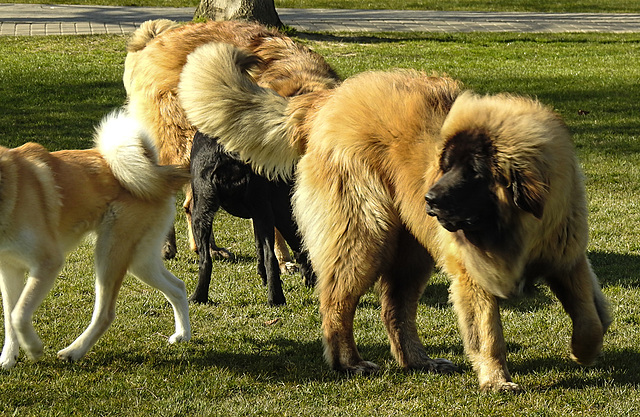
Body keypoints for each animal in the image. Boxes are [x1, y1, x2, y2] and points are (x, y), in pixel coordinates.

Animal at [0, 109, 190, 368]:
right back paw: (183, 334)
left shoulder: (48, 262)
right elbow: (10, 316)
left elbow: (18, 314)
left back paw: (74, 351)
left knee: (105, 314)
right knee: (178, 286)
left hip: (109, 254)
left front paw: (34, 348)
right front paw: (8, 358)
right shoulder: (9, 268)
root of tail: (157, 171)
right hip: (140, 261)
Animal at [121, 18, 340, 260]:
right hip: (180, 147)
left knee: (193, 205)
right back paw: (167, 247)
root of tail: (154, 39)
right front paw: (282, 259)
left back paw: (208, 248)